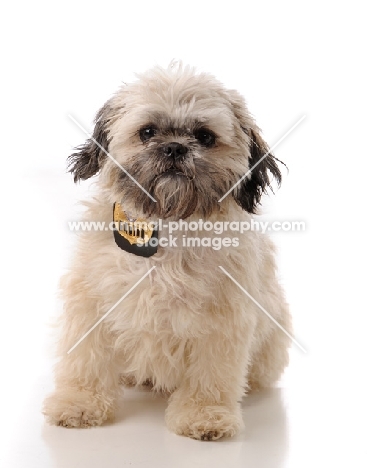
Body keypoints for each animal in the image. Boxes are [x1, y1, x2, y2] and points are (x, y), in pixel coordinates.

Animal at [43, 64, 292, 440]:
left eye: (205, 136)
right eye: (147, 132)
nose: (174, 148)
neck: (168, 225)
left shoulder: (223, 319)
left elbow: (211, 374)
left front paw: (205, 414)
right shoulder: (91, 301)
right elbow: (85, 359)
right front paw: (79, 402)